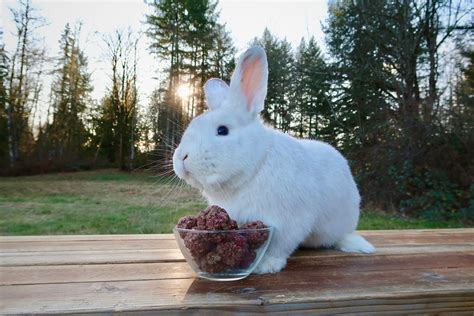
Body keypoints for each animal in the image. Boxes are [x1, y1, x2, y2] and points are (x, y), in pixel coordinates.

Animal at [172, 45, 376, 272]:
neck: (255, 167)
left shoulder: (289, 222)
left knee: (342, 236)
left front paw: (266, 265)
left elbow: (278, 246)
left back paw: (359, 246)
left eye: (222, 130)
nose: (181, 157)